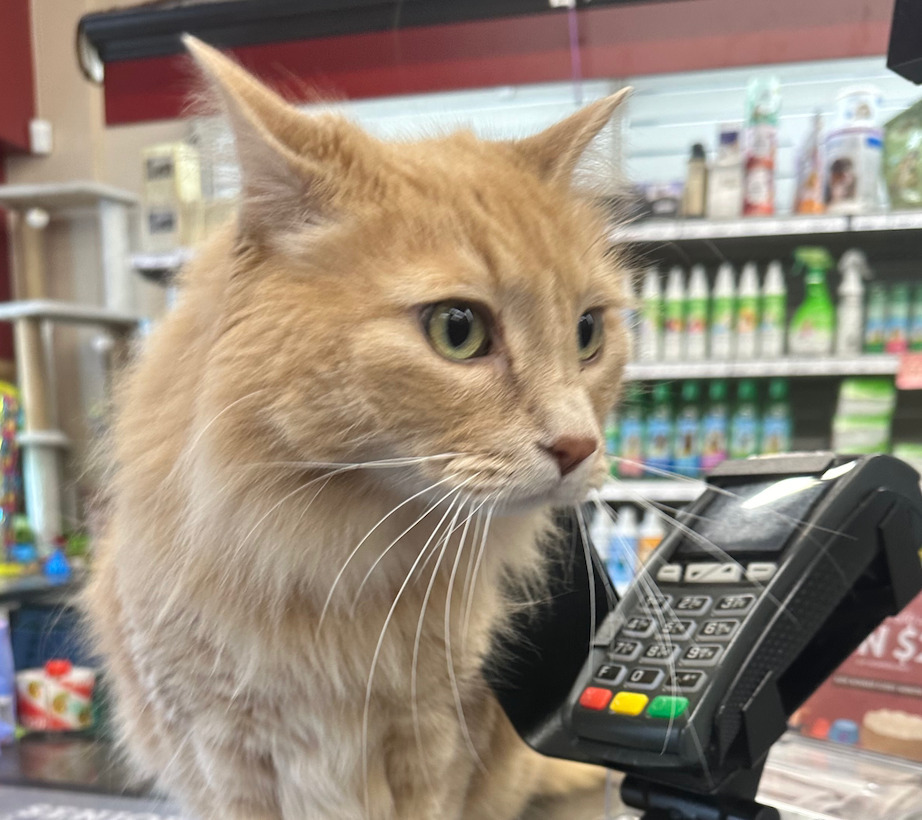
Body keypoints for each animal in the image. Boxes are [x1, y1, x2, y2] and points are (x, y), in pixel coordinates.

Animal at [86, 35, 628, 816]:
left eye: (588, 333)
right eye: (457, 330)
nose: (579, 446)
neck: (336, 551)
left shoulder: (436, 740)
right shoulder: (225, 757)